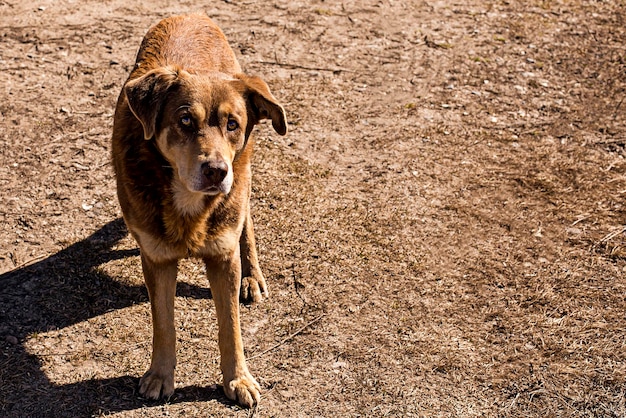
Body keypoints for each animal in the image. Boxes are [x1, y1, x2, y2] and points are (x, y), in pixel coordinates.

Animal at [111, 14, 286, 406]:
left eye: (232, 124)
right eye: (186, 121)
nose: (217, 171)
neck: (187, 203)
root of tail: (192, 15)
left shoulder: (222, 256)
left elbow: (230, 326)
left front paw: (239, 379)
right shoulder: (156, 258)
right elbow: (163, 322)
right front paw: (160, 376)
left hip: (243, 179)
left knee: (246, 220)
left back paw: (252, 276)